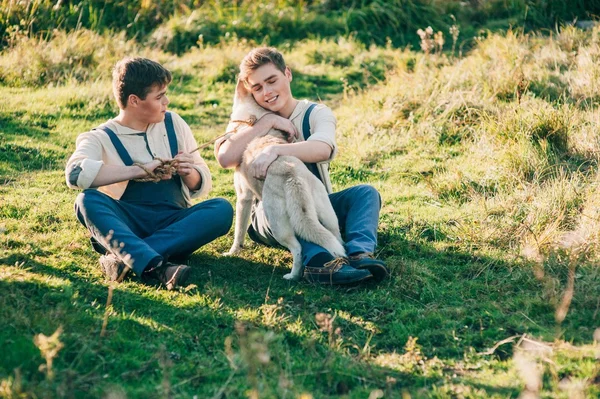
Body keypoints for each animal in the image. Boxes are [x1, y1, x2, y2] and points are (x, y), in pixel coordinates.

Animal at [225, 79, 346, 282]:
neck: (254, 120)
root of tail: (293, 176)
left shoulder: (243, 197)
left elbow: (239, 231)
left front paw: (233, 252)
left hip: (278, 225)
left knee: (298, 248)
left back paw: (293, 275)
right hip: (328, 217)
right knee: (335, 239)